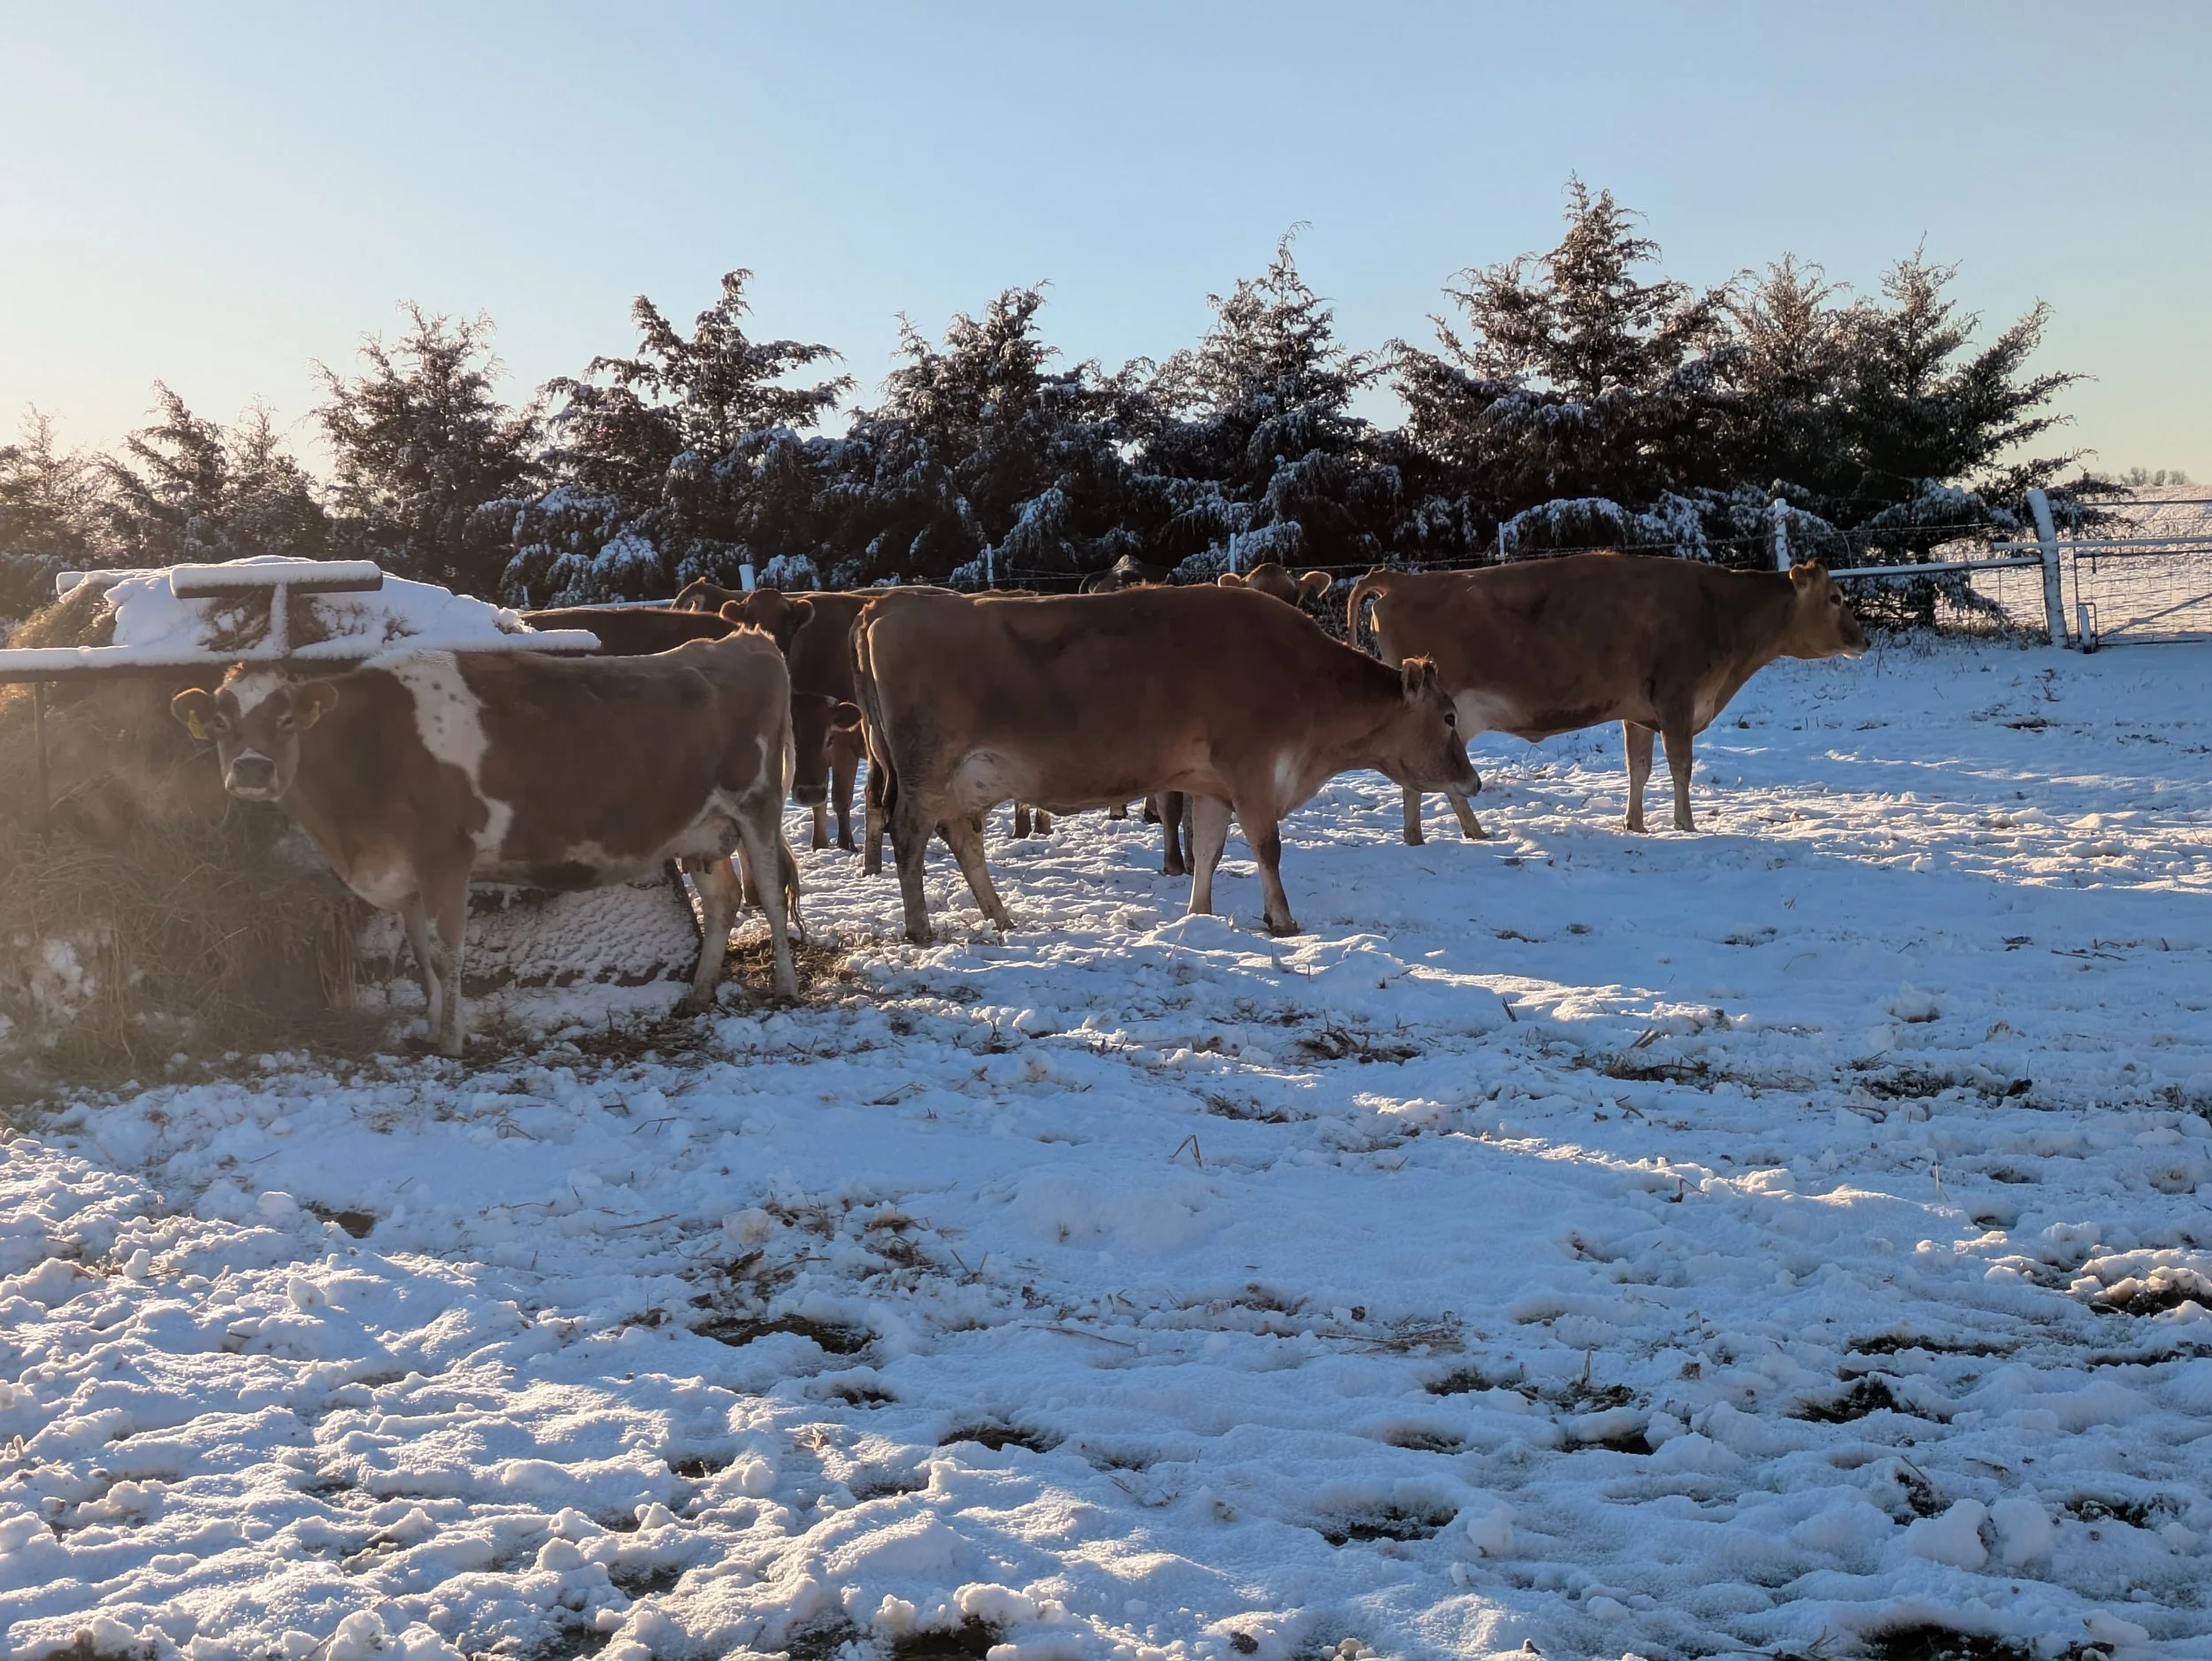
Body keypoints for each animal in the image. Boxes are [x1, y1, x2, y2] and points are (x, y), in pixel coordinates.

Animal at [169, 635, 801, 1057]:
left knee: (769, 894)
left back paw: (785, 990)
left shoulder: (446, 858)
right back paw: (698, 994)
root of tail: (742, 639)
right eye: (221, 721)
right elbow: (422, 954)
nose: (252, 769)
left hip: (758, 805)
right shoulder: (408, 877)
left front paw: (452, 1040)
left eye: (286, 719)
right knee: (722, 901)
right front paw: (430, 1027)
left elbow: (448, 954)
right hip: (703, 829)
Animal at [851, 584, 1474, 942]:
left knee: (962, 838)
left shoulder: (1212, 784)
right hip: (926, 769)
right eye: (1449, 717)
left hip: (965, 779)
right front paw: (1282, 920)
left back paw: (1000, 917)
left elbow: (1210, 848)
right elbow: (1267, 847)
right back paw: (920, 928)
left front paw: (1199, 914)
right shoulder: (1251, 769)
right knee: (909, 836)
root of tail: (887, 604)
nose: (1472, 779)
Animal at [1345, 554, 1868, 842]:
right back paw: (1462, 831)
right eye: (1837, 598)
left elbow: (1639, 767)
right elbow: (1681, 766)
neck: (1720, 609)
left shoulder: (1639, 713)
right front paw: (1686, 824)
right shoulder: (1677, 702)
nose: (1862, 639)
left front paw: (1636, 823)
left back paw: (1424, 835)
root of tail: (1403, 579)